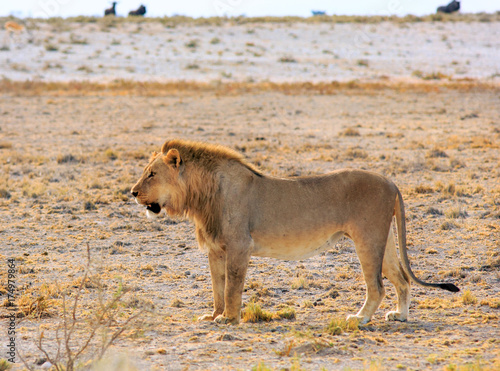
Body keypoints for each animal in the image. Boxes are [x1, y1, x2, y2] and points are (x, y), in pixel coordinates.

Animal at [131, 140, 458, 326]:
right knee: (402, 279)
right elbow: (217, 287)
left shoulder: (239, 245)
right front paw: (213, 316)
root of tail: (390, 181)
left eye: (152, 174)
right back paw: (400, 315)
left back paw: (360, 318)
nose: (132, 192)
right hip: (384, 239)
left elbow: (232, 286)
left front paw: (229, 319)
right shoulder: (215, 250)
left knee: (376, 286)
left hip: (367, 238)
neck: (200, 196)